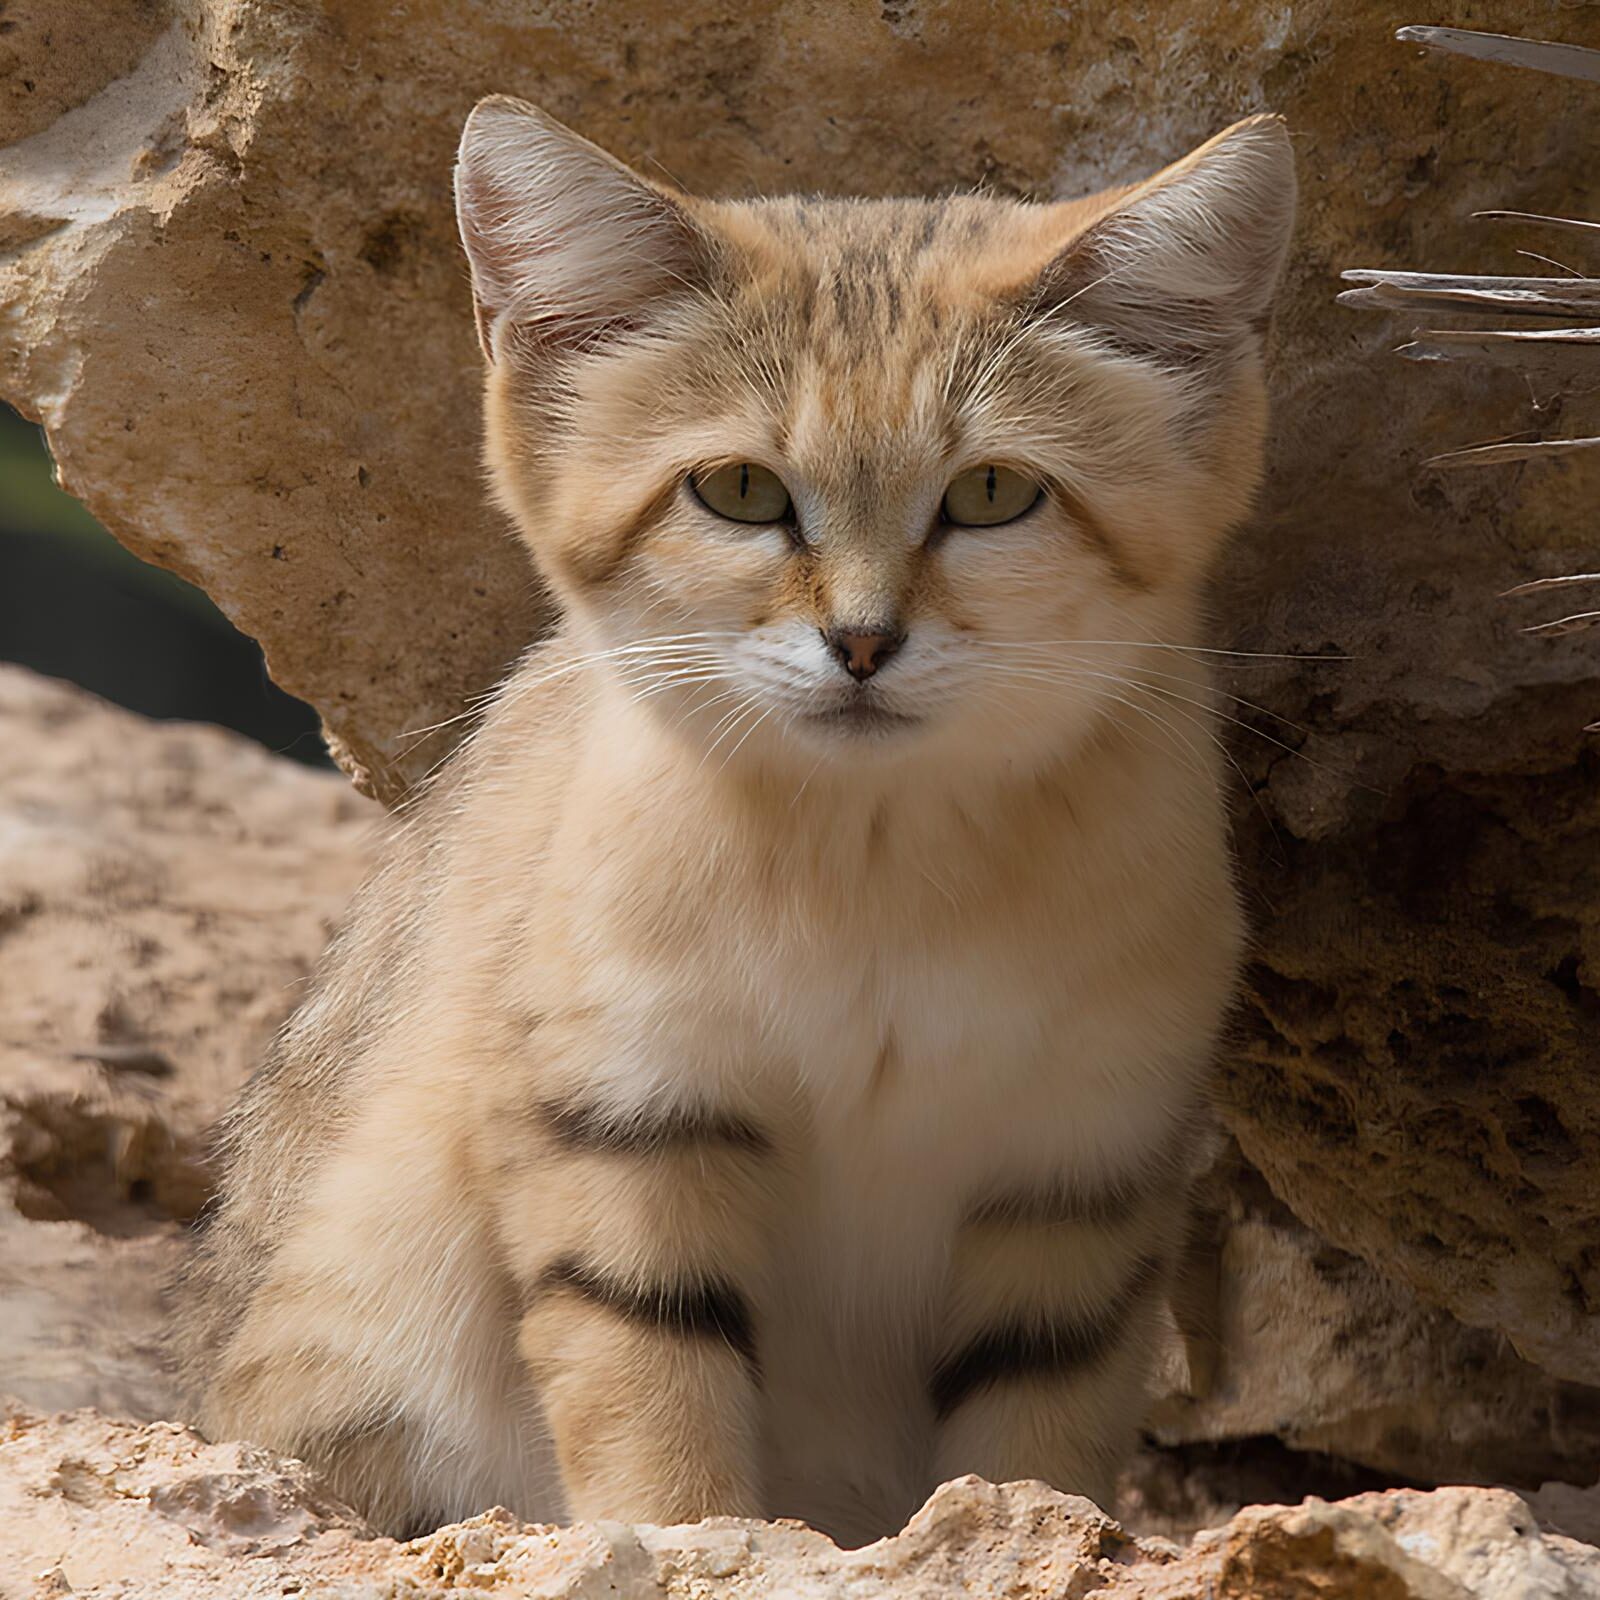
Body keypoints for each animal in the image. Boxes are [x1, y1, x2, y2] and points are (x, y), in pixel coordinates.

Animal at [178, 93, 1299, 1542]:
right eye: (743, 493)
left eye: (994, 495)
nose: (863, 643)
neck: (877, 861)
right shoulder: (624, 1110)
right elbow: (652, 1388)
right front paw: (684, 1539)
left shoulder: (1080, 1167)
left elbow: (1031, 1442)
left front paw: (1016, 1533)